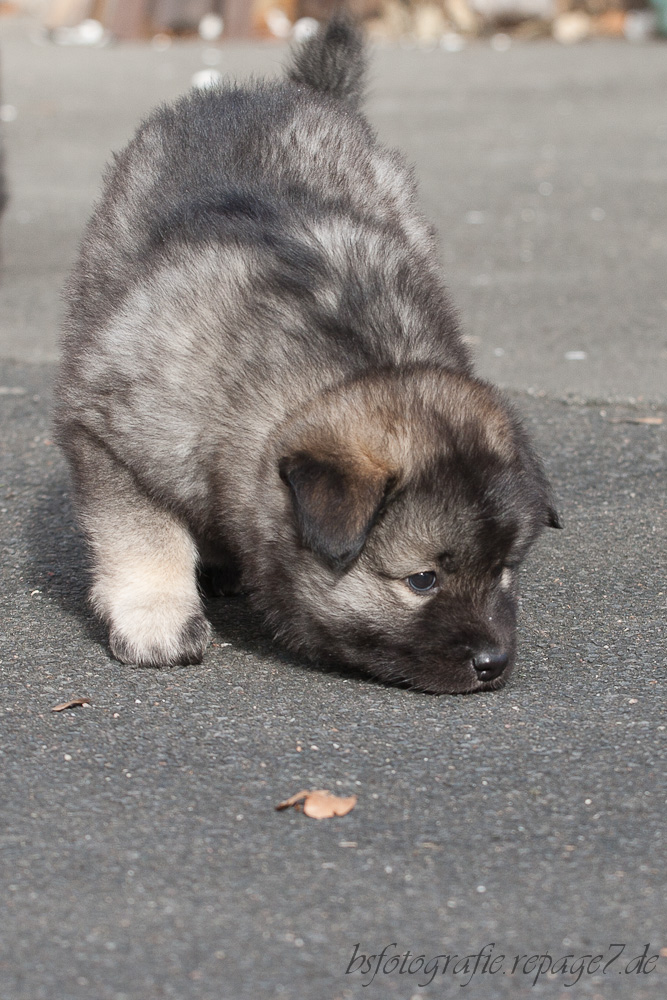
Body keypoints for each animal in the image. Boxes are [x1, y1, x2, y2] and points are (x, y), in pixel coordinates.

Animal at [56, 15, 560, 692]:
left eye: (506, 568)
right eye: (422, 580)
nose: (493, 663)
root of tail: (289, 92)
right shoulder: (109, 436)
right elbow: (143, 534)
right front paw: (156, 619)